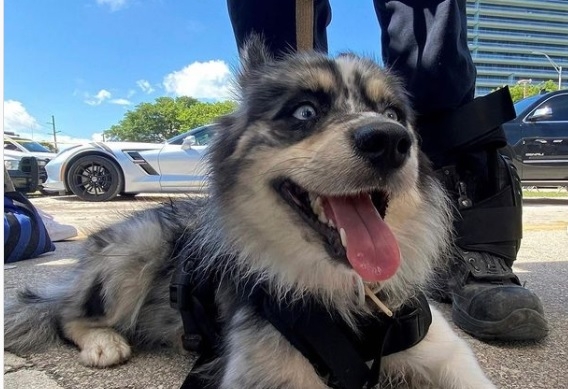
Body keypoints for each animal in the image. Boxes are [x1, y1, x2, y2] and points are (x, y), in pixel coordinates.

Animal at [3, 37, 492, 388]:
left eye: (393, 114)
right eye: (305, 111)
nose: (389, 140)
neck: (349, 296)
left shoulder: (442, 349)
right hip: (135, 249)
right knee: (66, 315)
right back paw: (105, 342)